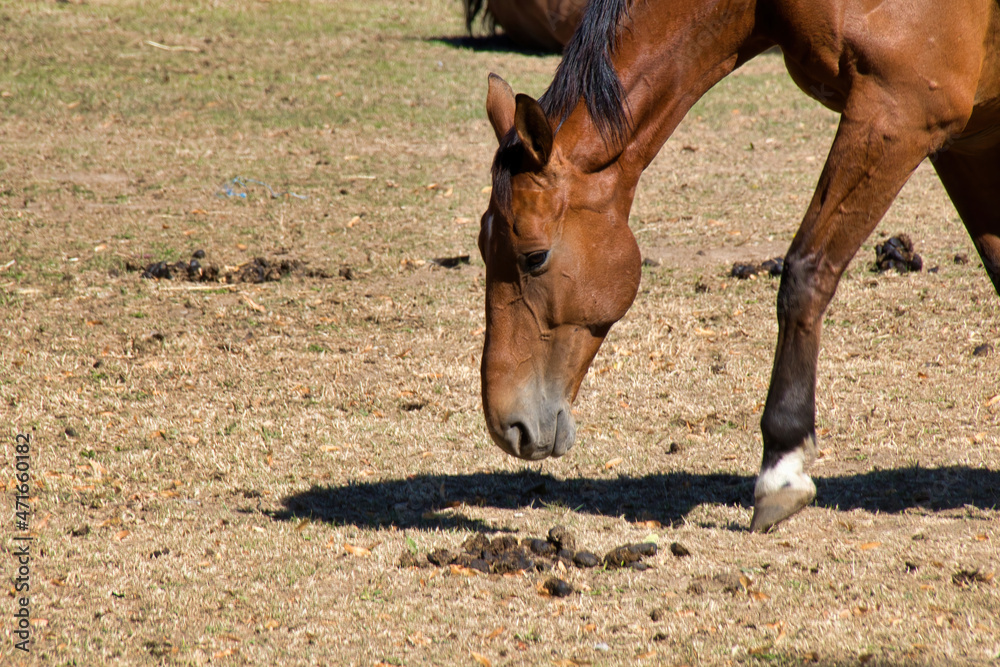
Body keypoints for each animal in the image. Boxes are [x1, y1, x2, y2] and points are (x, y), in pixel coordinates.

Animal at [478, 0, 1000, 532]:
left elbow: (805, 275)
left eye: (534, 256)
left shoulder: (900, 113)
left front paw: (782, 468)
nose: (506, 426)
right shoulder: (965, 139)